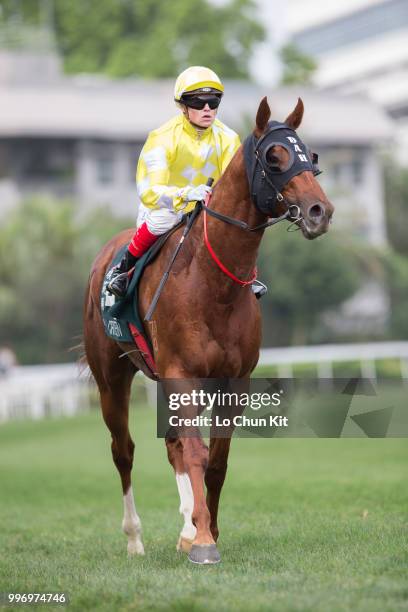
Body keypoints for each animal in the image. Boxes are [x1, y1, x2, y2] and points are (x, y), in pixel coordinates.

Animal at [83, 99, 334, 564]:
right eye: (274, 157)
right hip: (111, 379)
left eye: (310, 155)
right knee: (123, 451)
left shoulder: (233, 381)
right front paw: (202, 541)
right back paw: (135, 538)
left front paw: (205, 529)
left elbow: (215, 460)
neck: (212, 285)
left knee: (172, 446)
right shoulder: (181, 373)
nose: (319, 212)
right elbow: (197, 454)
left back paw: (185, 526)